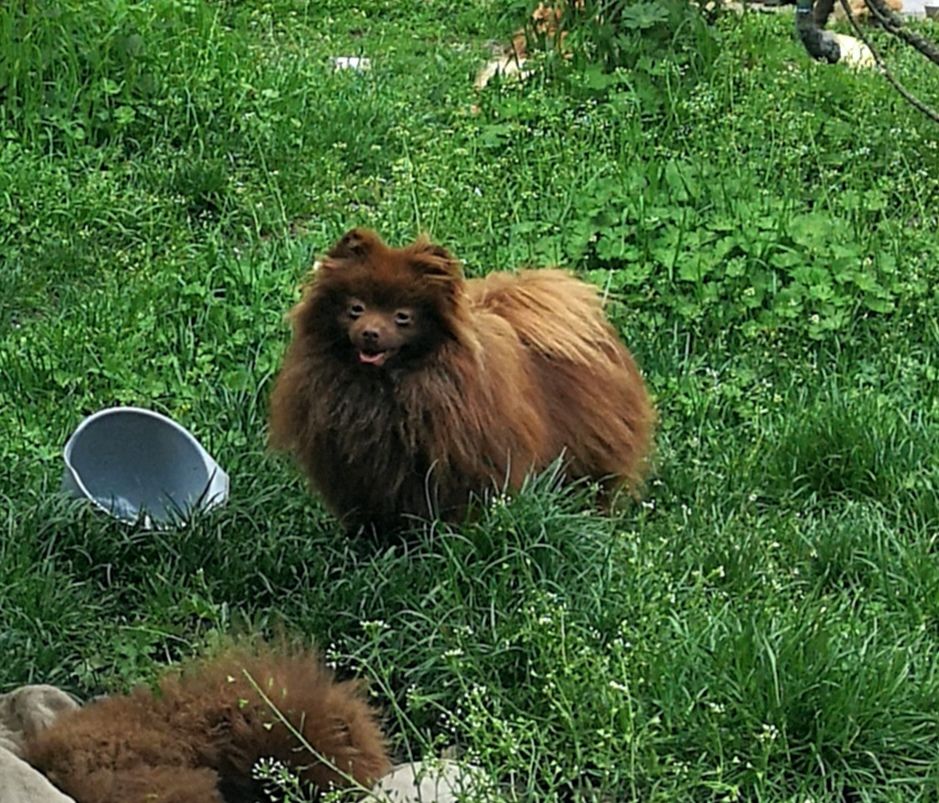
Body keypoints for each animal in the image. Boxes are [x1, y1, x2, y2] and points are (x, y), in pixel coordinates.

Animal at [268, 229, 656, 536]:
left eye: (402, 317)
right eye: (356, 308)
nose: (370, 333)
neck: (388, 389)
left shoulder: (459, 469)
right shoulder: (358, 478)